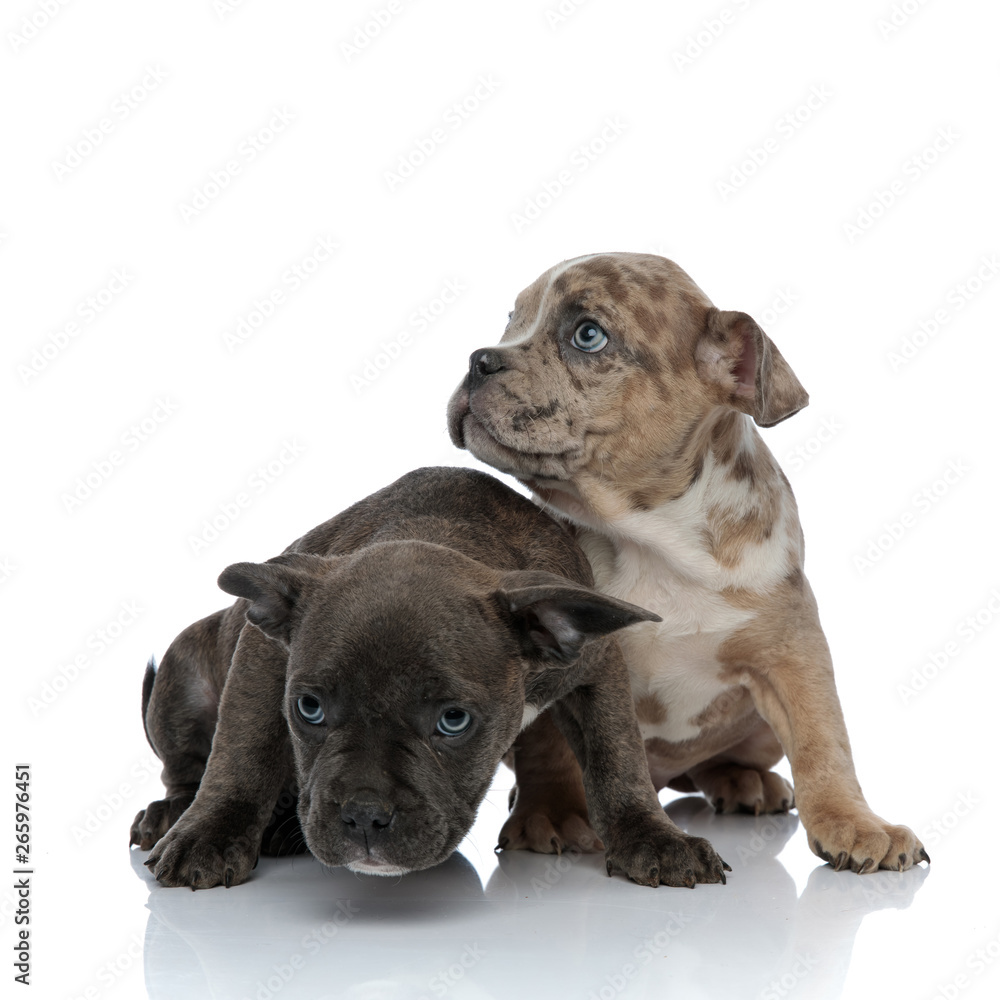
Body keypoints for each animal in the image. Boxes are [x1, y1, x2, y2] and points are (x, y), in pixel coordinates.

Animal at [129, 468, 732, 892]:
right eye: (308, 708)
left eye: (453, 721)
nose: (364, 814)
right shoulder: (262, 657)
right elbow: (241, 750)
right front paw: (209, 834)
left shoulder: (596, 668)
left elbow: (618, 757)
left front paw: (653, 836)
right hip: (182, 671)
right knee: (186, 767)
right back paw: (173, 814)